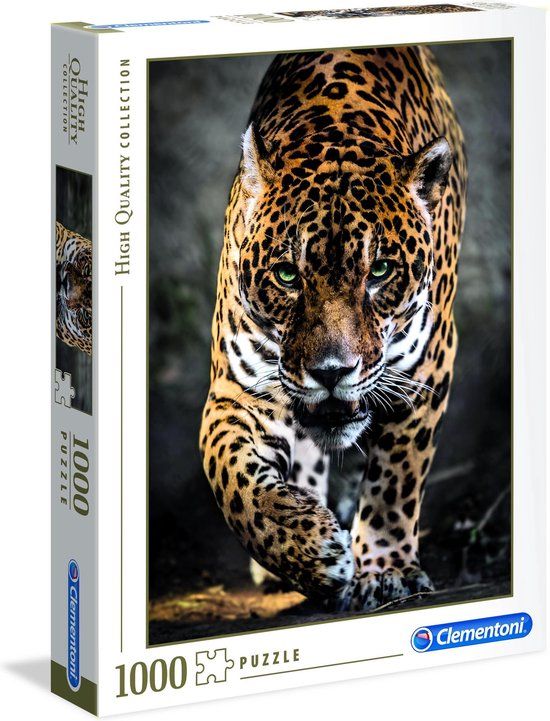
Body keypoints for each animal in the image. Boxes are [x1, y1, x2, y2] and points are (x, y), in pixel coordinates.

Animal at [200, 46, 466, 611]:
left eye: (380, 271)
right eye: (286, 275)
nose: (330, 372)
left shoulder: (426, 370)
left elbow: (395, 479)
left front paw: (385, 571)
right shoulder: (238, 389)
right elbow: (230, 476)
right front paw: (309, 549)